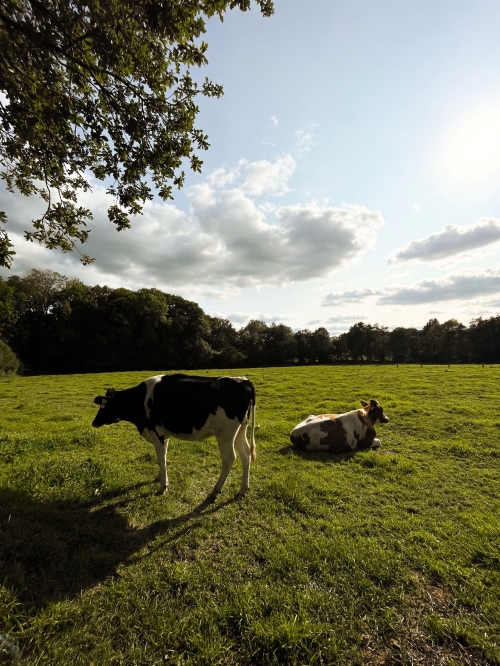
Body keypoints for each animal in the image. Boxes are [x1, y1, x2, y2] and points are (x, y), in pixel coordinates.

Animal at [93, 374, 256, 498]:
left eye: (104, 406)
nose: (94, 422)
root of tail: (243, 380)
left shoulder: (156, 432)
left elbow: (160, 459)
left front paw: (163, 486)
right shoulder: (164, 435)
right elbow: (162, 458)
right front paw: (160, 477)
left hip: (225, 434)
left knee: (229, 459)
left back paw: (216, 490)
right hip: (240, 429)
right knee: (246, 454)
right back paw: (242, 490)